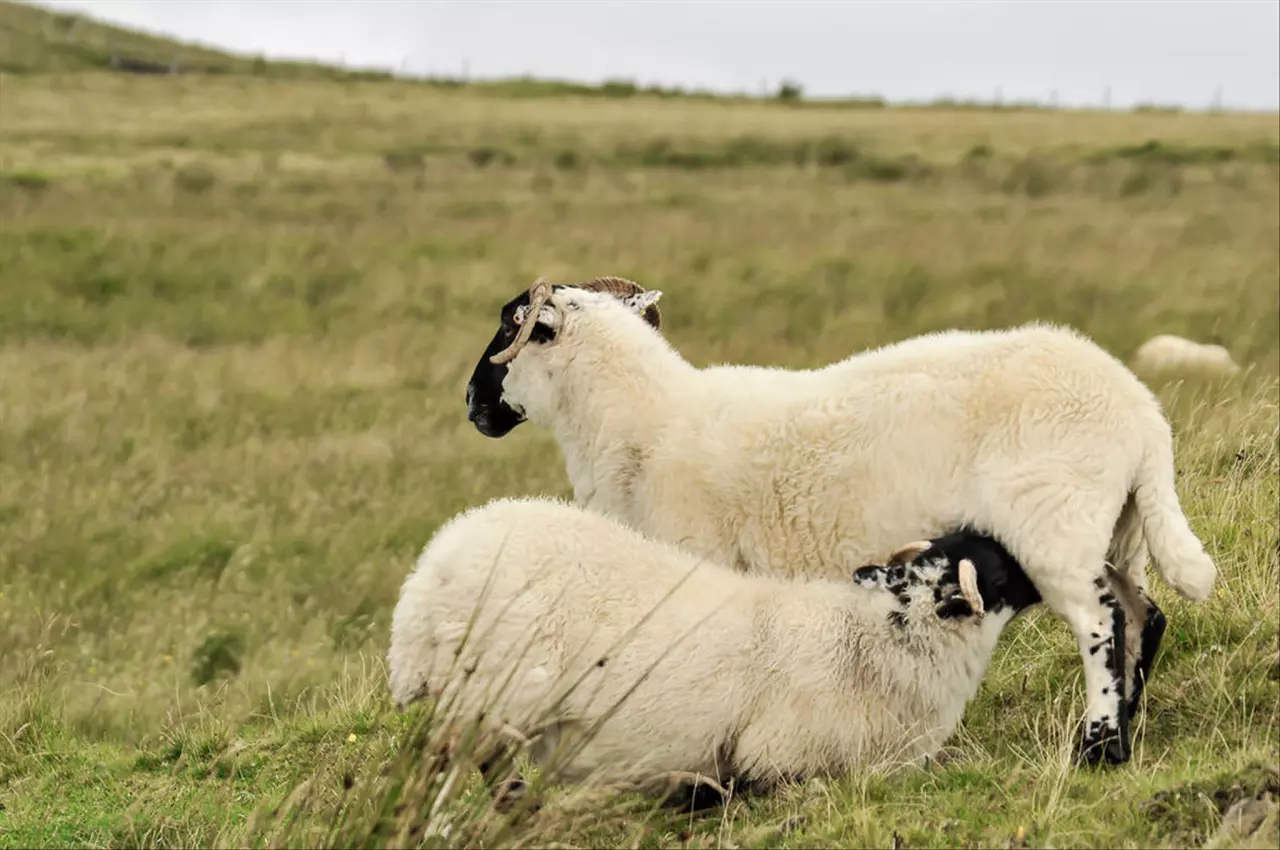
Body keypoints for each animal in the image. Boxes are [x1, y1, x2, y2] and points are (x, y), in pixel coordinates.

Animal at [386, 494, 1039, 809]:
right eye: (999, 569)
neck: (873, 641)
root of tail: (428, 581)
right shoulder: (779, 755)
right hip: (494, 692)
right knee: (451, 763)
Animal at [465, 275, 1213, 768]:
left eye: (509, 327)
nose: (473, 403)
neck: (640, 425)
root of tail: (1141, 414)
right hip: (1117, 529)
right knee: (1143, 614)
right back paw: (1129, 727)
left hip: (1054, 528)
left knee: (1099, 623)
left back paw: (1098, 746)